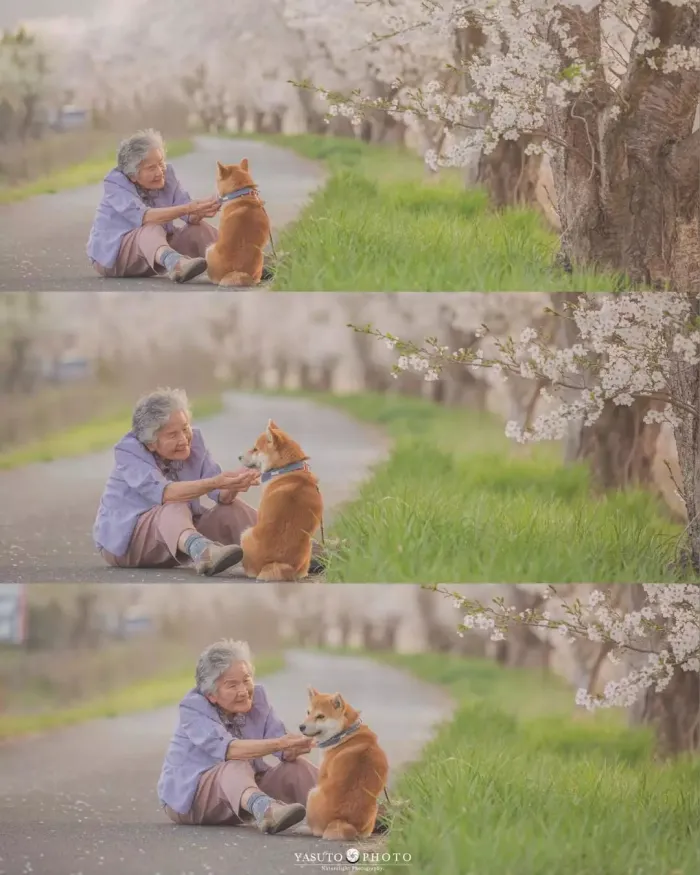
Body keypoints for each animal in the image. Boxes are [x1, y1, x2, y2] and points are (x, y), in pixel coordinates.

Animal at [237, 420, 322, 580]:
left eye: (255, 449)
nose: (238, 457)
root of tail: (274, 563)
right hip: (308, 545)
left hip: (245, 533)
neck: (287, 469)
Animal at [300, 692, 392, 840]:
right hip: (374, 810)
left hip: (312, 793)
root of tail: (341, 820)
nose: (301, 727)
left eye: (320, 716)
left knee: (316, 831)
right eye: (308, 712)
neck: (345, 733)